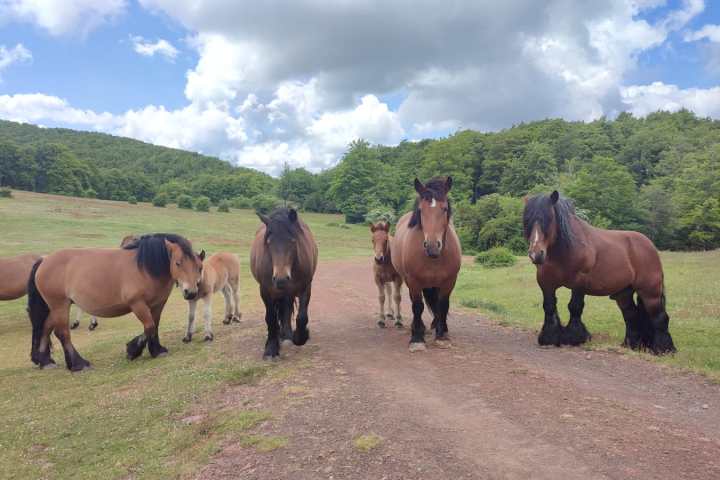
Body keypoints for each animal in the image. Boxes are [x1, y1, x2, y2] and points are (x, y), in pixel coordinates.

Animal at [27, 234, 205, 371]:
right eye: (178, 263)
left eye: (200, 267)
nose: (191, 292)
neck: (145, 268)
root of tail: (44, 261)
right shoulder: (137, 304)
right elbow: (149, 326)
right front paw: (132, 350)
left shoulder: (157, 304)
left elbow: (154, 327)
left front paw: (157, 350)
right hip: (60, 305)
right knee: (62, 333)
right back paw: (79, 364)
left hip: (56, 307)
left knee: (45, 328)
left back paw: (45, 361)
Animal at [250, 208, 318, 360]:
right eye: (269, 242)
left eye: (292, 241)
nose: (281, 279)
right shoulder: (265, 291)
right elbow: (270, 318)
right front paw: (271, 348)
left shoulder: (305, 287)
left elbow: (302, 317)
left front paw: (301, 337)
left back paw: (287, 335)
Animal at [391, 176, 462, 352]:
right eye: (421, 210)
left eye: (444, 209)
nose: (432, 246)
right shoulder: (414, 281)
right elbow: (417, 306)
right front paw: (417, 339)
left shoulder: (449, 281)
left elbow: (443, 305)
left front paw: (441, 336)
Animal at [523, 190, 676, 355]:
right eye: (528, 221)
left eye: (549, 219)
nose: (536, 254)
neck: (564, 251)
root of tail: (649, 245)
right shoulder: (546, 284)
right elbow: (549, 307)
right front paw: (549, 338)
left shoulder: (579, 283)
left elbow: (575, 307)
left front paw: (574, 337)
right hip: (624, 293)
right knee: (631, 315)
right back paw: (631, 345)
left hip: (650, 291)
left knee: (659, 317)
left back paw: (664, 349)